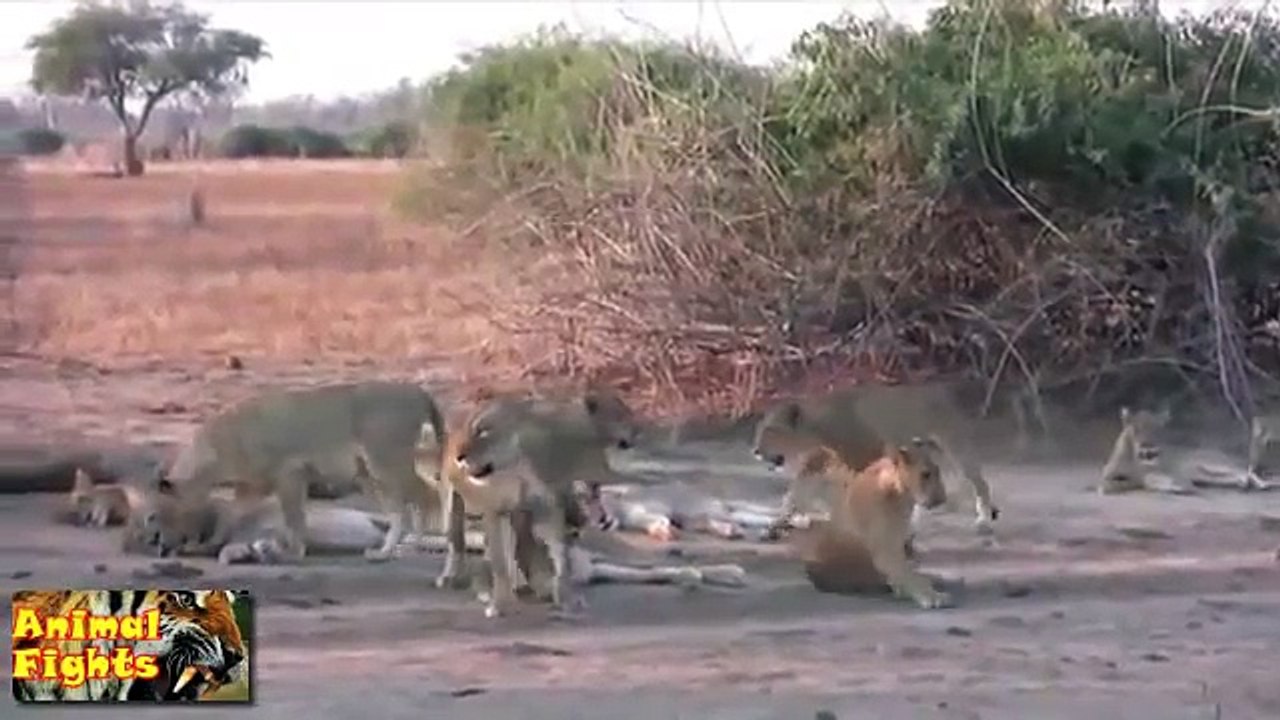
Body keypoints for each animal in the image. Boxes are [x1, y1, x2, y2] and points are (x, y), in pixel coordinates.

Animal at [160, 381, 448, 563]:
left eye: (163, 515)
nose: (162, 547)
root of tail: (418, 390)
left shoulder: (291, 473)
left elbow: (294, 517)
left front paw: (293, 552)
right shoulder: (252, 486)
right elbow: (231, 515)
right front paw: (208, 545)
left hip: (386, 461)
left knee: (427, 495)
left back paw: (411, 548)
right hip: (370, 473)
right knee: (399, 510)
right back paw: (384, 552)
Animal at [752, 382, 1001, 535]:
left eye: (770, 431)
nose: (755, 450)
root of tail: (941, 390)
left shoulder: (860, 459)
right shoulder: (813, 469)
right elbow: (793, 496)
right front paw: (779, 523)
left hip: (956, 446)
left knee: (980, 483)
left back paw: (983, 522)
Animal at [754, 424, 954, 609]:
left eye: (938, 472)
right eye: (926, 474)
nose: (942, 498)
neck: (901, 495)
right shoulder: (885, 549)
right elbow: (908, 575)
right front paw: (931, 596)